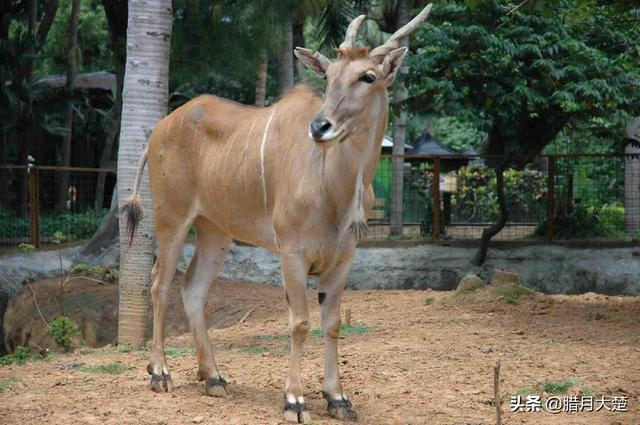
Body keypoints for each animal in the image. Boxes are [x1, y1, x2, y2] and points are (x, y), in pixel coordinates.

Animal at [124, 4, 436, 422]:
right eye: (329, 77)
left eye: (368, 76)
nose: (320, 126)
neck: (333, 185)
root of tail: (159, 128)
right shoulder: (292, 253)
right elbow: (300, 323)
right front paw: (295, 400)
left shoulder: (343, 259)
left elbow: (332, 324)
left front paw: (338, 398)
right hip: (171, 218)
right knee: (159, 283)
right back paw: (160, 373)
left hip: (214, 231)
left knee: (193, 288)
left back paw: (214, 378)